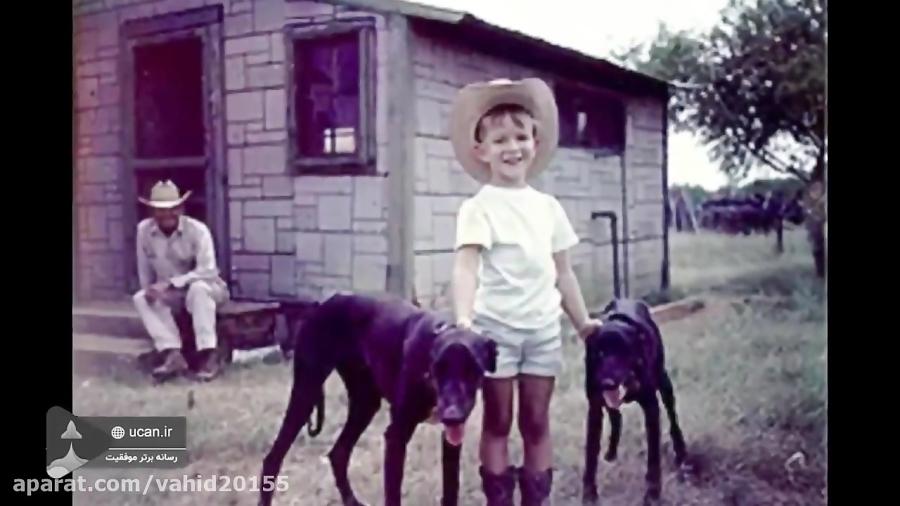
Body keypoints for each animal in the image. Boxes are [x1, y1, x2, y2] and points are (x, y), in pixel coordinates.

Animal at [260, 292, 500, 506]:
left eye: (473, 370)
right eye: (438, 369)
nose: (452, 416)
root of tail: (324, 303)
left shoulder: (451, 439)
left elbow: (451, 490)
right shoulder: (396, 436)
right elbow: (393, 495)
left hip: (365, 403)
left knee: (338, 453)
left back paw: (352, 502)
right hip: (306, 391)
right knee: (273, 458)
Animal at [584, 298, 688, 504]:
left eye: (624, 351)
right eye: (599, 353)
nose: (607, 383)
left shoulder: (651, 407)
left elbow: (653, 454)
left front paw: (653, 492)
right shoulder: (595, 408)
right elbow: (591, 452)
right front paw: (589, 492)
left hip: (664, 382)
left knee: (672, 416)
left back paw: (681, 452)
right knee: (616, 418)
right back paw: (611, 452)